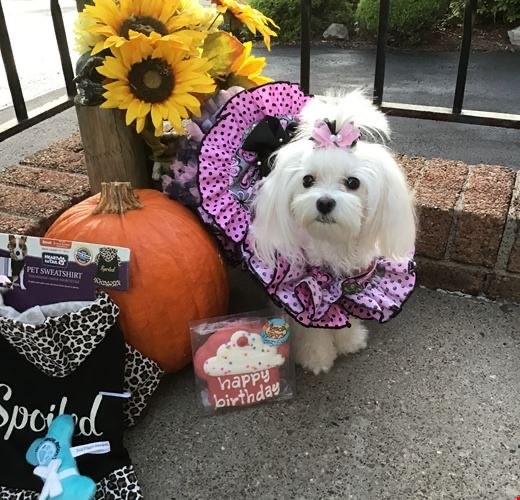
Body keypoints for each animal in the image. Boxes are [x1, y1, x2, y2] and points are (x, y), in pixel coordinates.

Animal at [250, 90, 416, 374]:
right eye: (307, 180)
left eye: (353, 182)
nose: (324, 202)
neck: (331, 243)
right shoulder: (303, 289)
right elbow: (313, 323)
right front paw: (316, 357)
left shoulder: (352, 281)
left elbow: (345, 309)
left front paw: (350, 339)